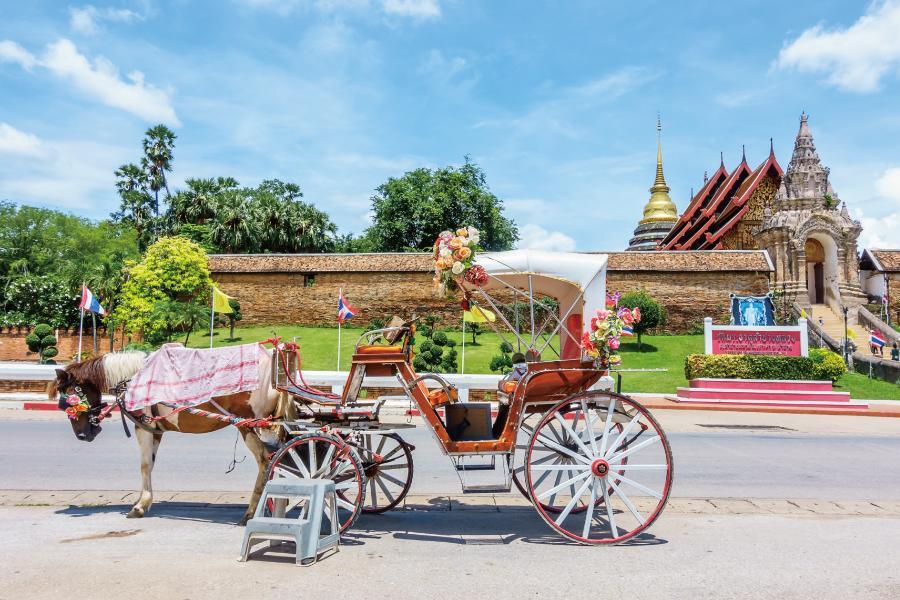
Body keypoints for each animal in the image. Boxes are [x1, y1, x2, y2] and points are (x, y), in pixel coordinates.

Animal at [48, 344, 296, 524]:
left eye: (70, 399)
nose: (82, 435)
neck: (133, 377)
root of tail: (271, 358)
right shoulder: (155, 430)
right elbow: (150, 464)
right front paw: (143, 500)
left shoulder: (143, 427)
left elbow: (144, 465)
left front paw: (139, 506)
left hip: (249, 425)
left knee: (266, 461)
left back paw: (251, 512)